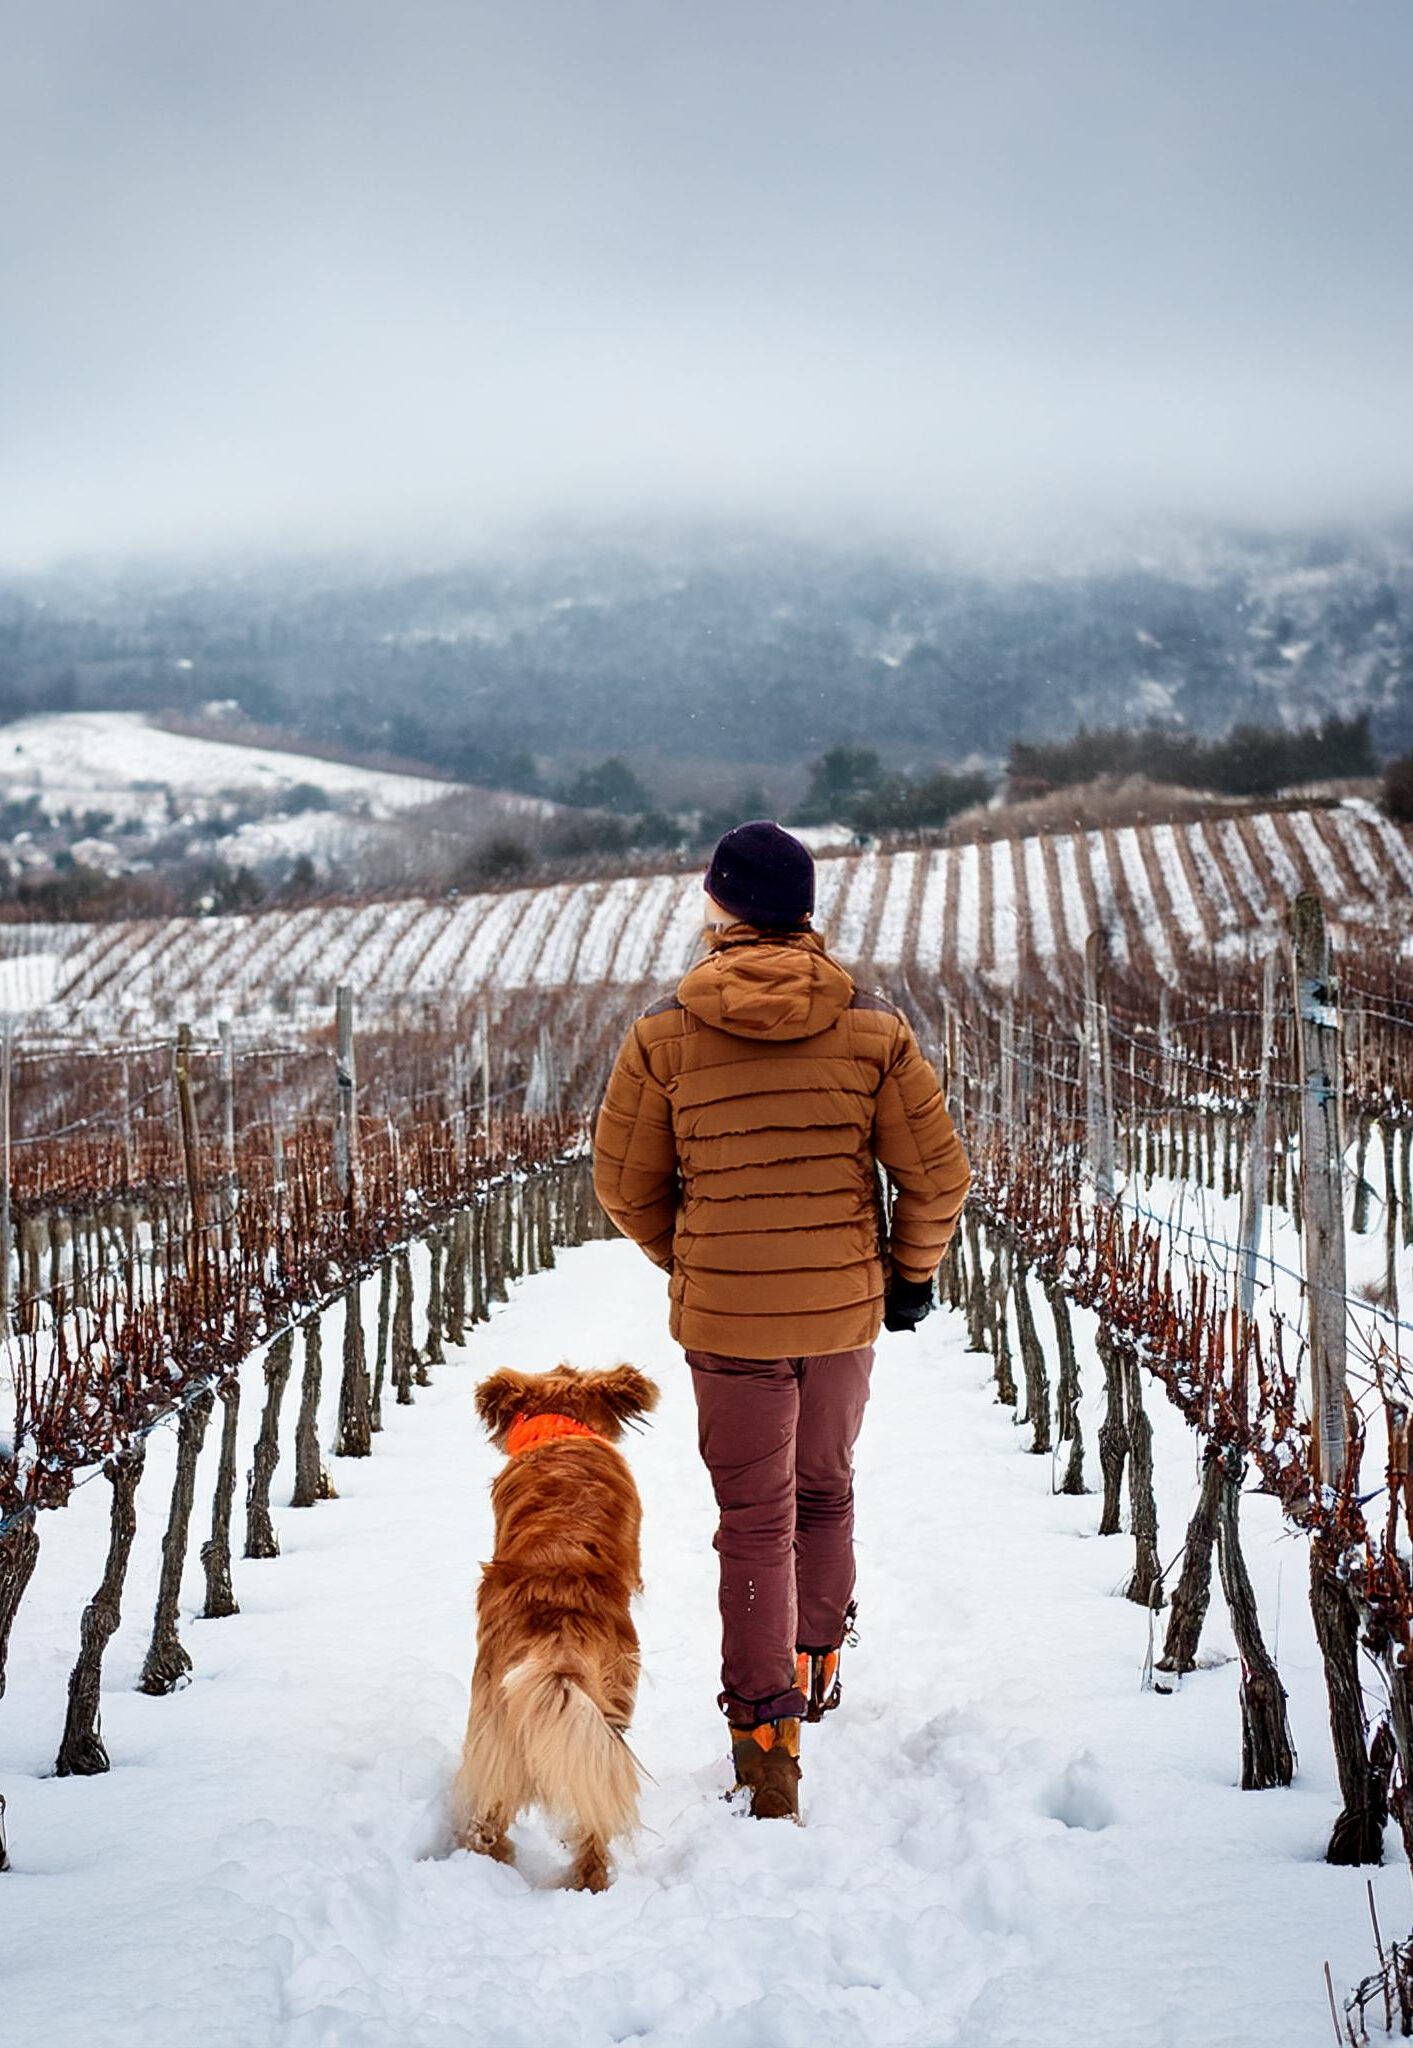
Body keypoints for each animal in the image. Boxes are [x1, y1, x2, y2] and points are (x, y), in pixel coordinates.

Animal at [450, 1359, 659, 1884]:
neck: (562, 1430)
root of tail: (557, 1636)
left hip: (497, 1725)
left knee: (491, 1818)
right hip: (609, 1711)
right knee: (593, 1824)